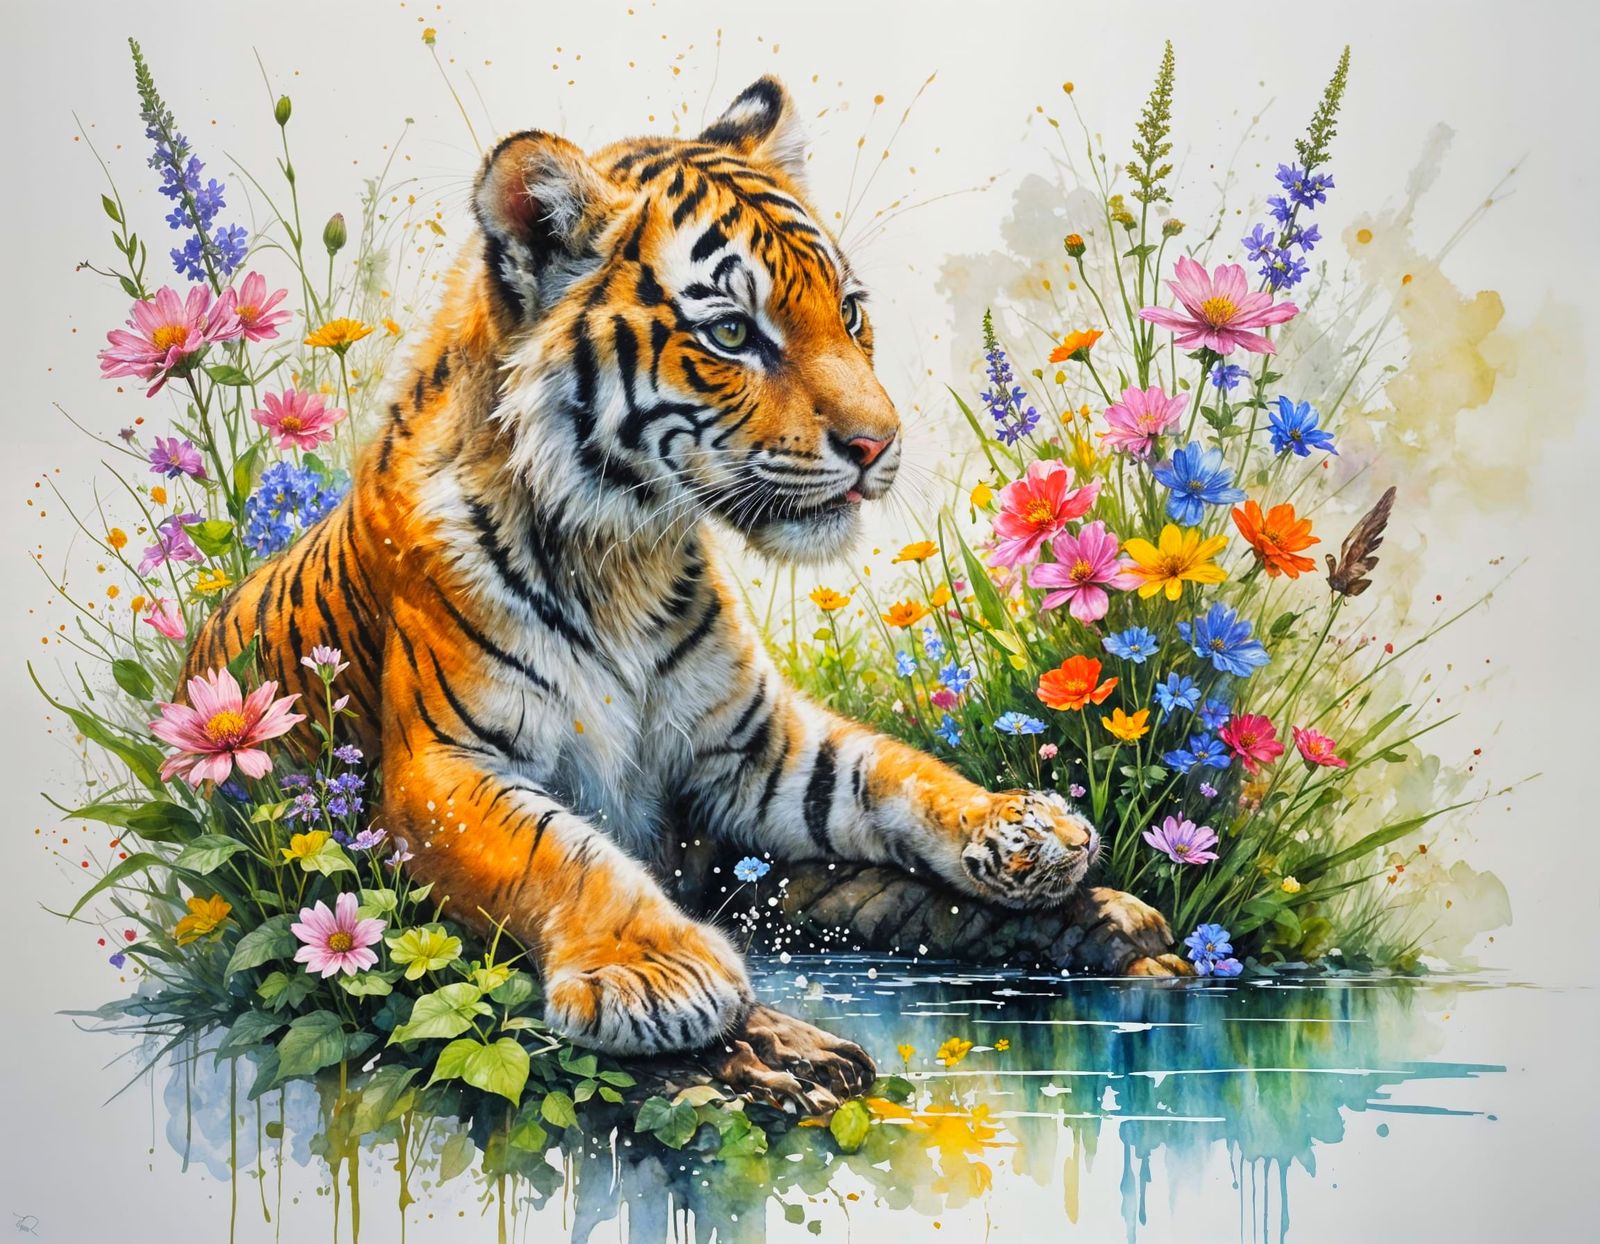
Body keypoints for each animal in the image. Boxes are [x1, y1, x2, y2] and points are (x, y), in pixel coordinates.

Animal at [183, 77, 1183, 1098]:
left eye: (851, 312)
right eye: (733, 333)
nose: (879, 446)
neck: (626, 549)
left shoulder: (755, 748)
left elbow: (891, 772)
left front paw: (1025, 829)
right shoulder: (443, 768)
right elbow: (559, 851)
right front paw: (655, 973)